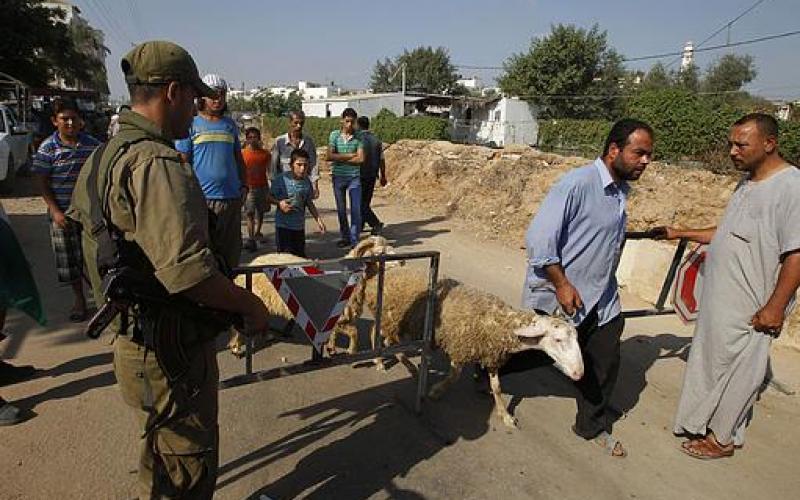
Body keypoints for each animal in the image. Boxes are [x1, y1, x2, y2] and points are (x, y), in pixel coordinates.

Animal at [334, 268, 584, 428]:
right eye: (558, 339)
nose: (579, 374)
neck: (500, 323)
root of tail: (381, 275)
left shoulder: (490, 354)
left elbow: (497, 387)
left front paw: (505, 415)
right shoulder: (461, 347)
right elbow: (454, 376)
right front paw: (435, 391)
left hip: (393, 318)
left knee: (376, 332)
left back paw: (388, 361)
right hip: (394, 318)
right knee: (385, 340)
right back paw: (396, 365)